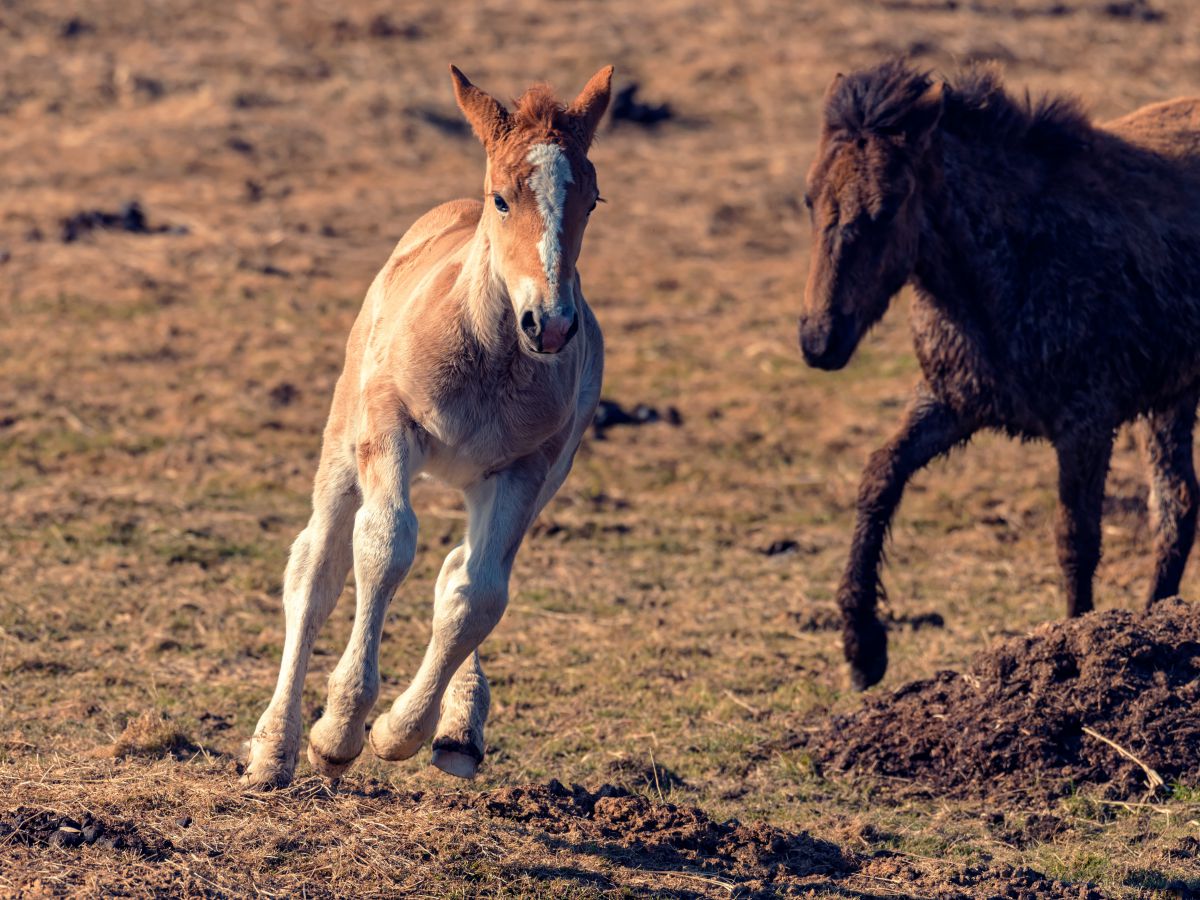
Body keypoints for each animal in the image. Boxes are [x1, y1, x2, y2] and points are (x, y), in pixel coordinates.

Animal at [243, 64, 613, 787]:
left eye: (591, 201)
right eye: (503, 200)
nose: (551, 324)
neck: (490, 356)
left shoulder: (527, 467)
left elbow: (479, 594)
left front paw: (400, 731)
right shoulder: (389, 426)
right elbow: (385, 546)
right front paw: (338, 733)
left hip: (527, 480)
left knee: (461, 567)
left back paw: (459, 728)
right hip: (343, 440)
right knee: (316, 567)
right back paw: (274, 749)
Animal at [799, 59, 1200, 690]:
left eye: (888, 207)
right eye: (809, 199)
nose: (819, 340)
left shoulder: (1088, 421)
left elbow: (1075, 539)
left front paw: (1077, 651)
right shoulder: (951, 401)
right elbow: (878, 477)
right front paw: (862, 649)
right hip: (1171, 398)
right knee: (1177, 504)